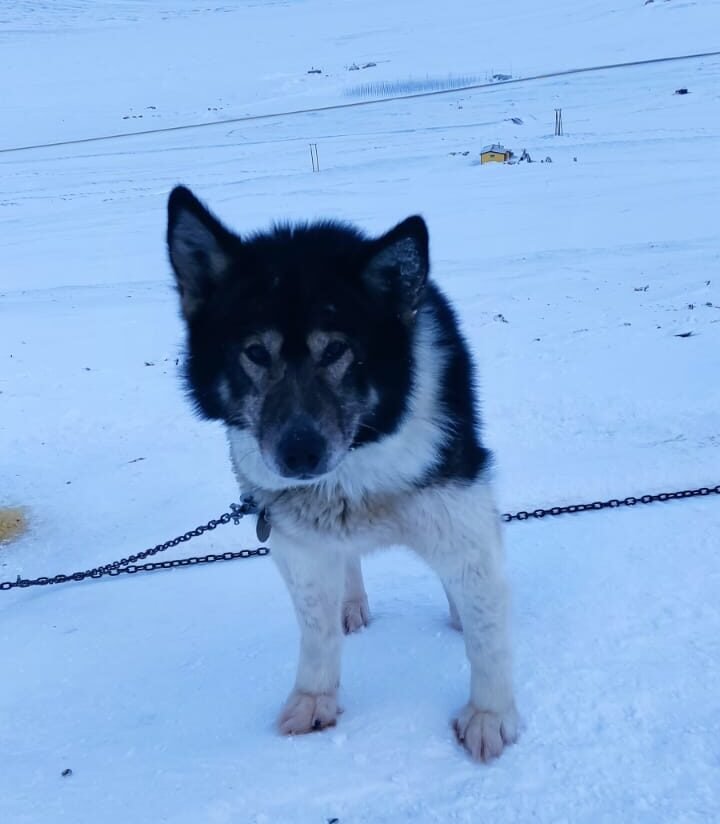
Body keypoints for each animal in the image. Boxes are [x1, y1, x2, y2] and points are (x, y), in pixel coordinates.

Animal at [167, 185, 516, 760]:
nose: (299, 454)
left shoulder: (458, 510)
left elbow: (486, 630)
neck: (354, 469)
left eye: (335, 349)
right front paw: (315, 697)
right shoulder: (295, 540)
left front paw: (489, 714)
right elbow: (316, 629)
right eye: (255, 352)